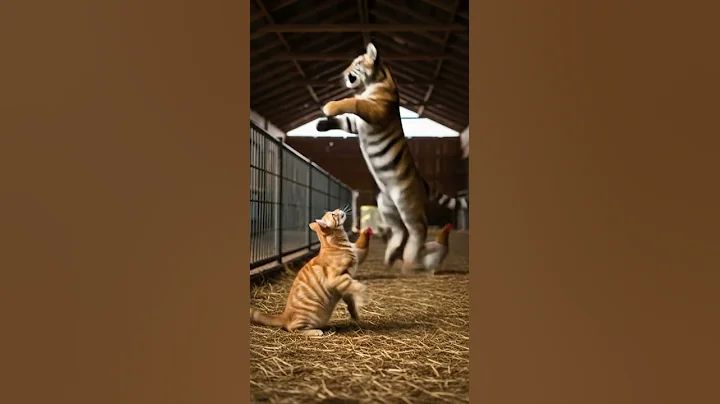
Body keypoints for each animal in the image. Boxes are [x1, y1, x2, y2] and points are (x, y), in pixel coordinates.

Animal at [315, 42, 467, 274]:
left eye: (356, 63)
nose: (342, 74)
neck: (377, 82)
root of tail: (422, 182)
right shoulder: (356, 124)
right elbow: (344, 121)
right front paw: (321, 124)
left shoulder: (373, 109)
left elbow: (353, 101)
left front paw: (329, 106)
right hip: (386, 204)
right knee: (399, 230)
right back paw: (390, 257)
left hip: (406, 201)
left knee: (418, 228)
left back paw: (410, 259)